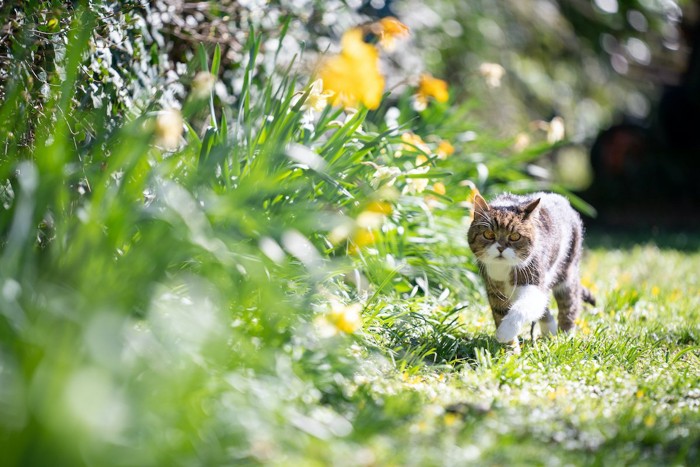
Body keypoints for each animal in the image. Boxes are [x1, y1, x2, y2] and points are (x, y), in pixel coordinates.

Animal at [468, 192, 592, 350]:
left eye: (515, 236)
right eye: (489, 234)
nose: (501, 248)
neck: (504, 268)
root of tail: (562, 199)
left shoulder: (533, 277)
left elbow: (523, 306)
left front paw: (505, 331)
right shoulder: (494, 288)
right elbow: (500, 311)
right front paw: (510, 349)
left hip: (567, 269)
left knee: (569, 304)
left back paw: (565, 336)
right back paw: (550, 330)